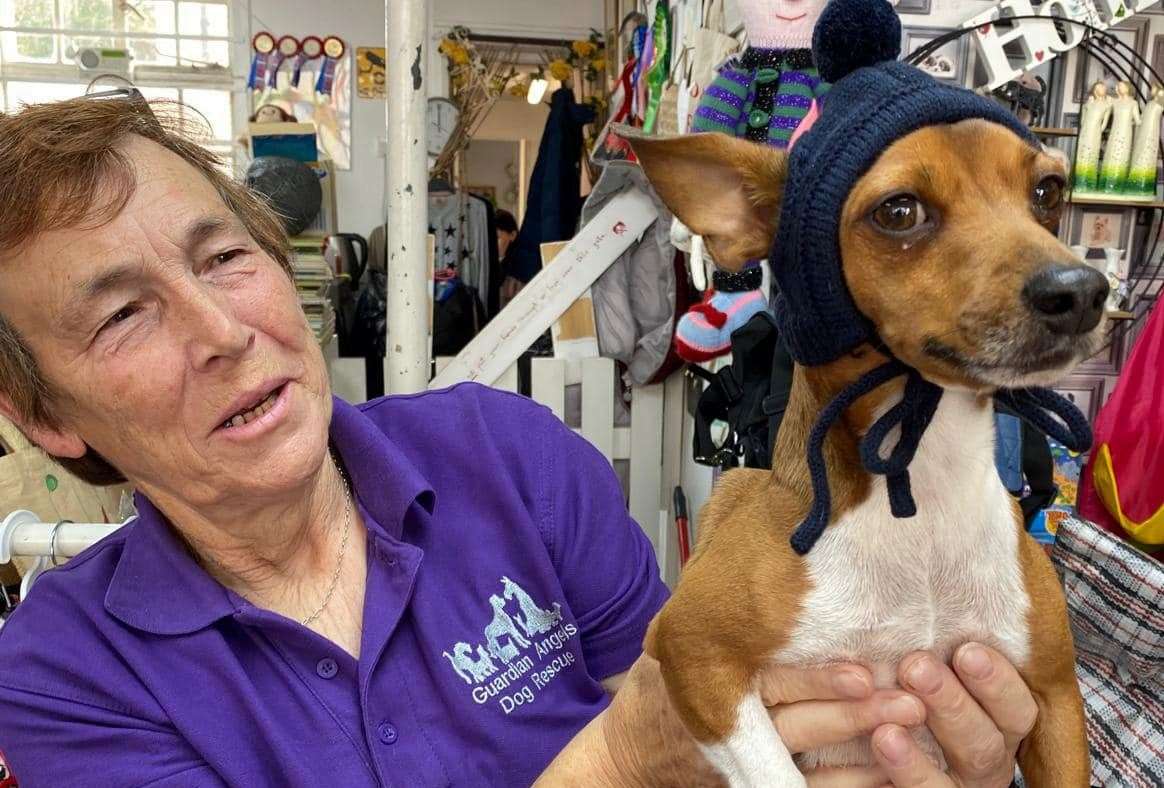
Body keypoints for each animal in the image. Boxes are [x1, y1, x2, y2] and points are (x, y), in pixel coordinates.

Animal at [619, 0, 1098, 782]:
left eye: (1049, 192)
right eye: (899, 212)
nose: (1083, 291)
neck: (920, 483)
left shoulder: (1055, 700)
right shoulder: (689, 652)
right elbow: (776, 770)